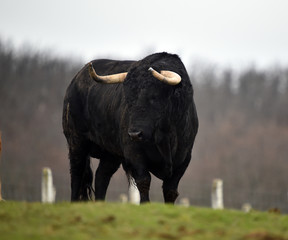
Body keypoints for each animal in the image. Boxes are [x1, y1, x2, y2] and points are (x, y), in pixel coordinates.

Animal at [62, 52, 198, 202]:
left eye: (154, 97)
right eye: (128, 99)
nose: (134, 134)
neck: (166, 135)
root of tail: (76, 79)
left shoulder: (184, 157)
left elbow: (170, 190)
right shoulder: (134, 153)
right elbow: (144, 181)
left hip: (110, 153)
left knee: (101, 176)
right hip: (76, 140)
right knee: (76, 173)